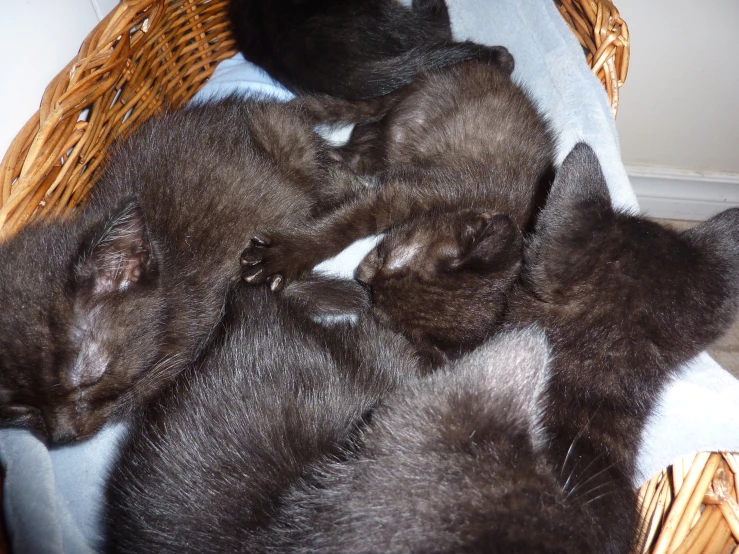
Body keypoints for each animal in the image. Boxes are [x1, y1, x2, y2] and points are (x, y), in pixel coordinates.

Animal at [0, 94, 368, 440]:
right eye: (21, 407)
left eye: (89, 379)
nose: (63, 436)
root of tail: (259, 105)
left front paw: (355, 298)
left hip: (289, 148)